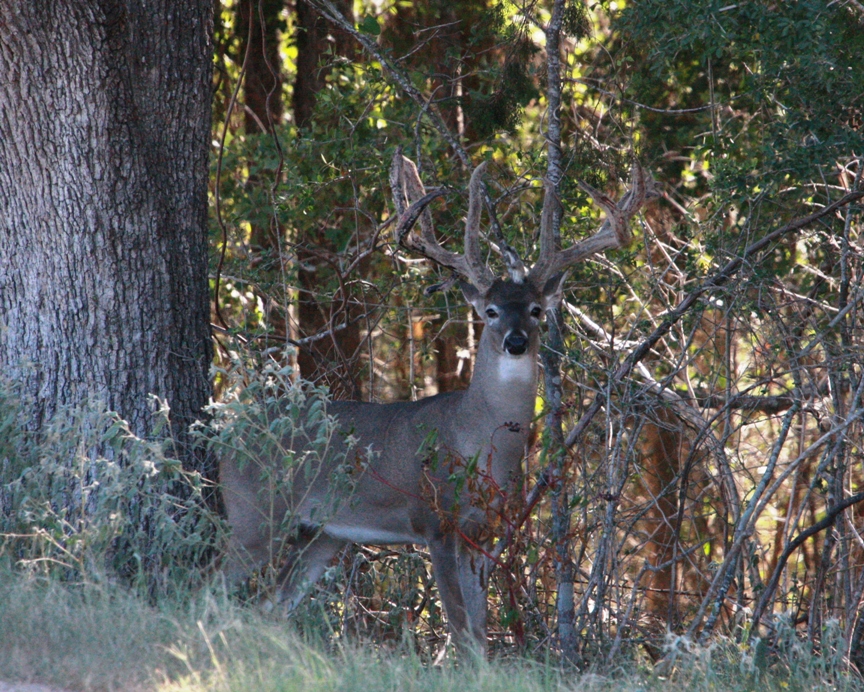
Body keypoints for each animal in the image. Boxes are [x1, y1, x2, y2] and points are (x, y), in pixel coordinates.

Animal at [223, 150, 648, 656]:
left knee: (269, 606)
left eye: (536, 309)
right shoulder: (435, 520)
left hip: (321, 533)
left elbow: (479, 632)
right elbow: (460, 631)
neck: (475, 441)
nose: (517, 341)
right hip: (254, 511)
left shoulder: (480, 530)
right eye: (490, 311)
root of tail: (228, 434)